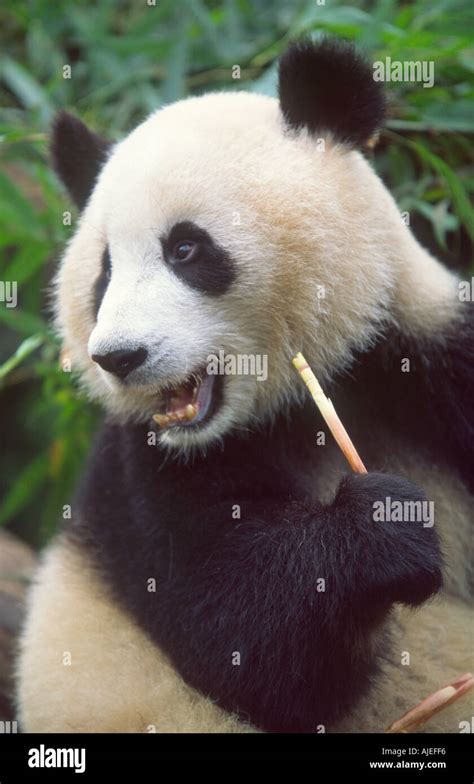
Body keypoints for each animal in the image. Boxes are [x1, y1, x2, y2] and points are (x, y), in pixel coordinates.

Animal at [15, 38, 474, 736]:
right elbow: (246, 642)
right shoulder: (142, 476)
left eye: (185, 248)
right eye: (104, 272)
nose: (119, 357)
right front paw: (383, 528)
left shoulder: (425, 355)